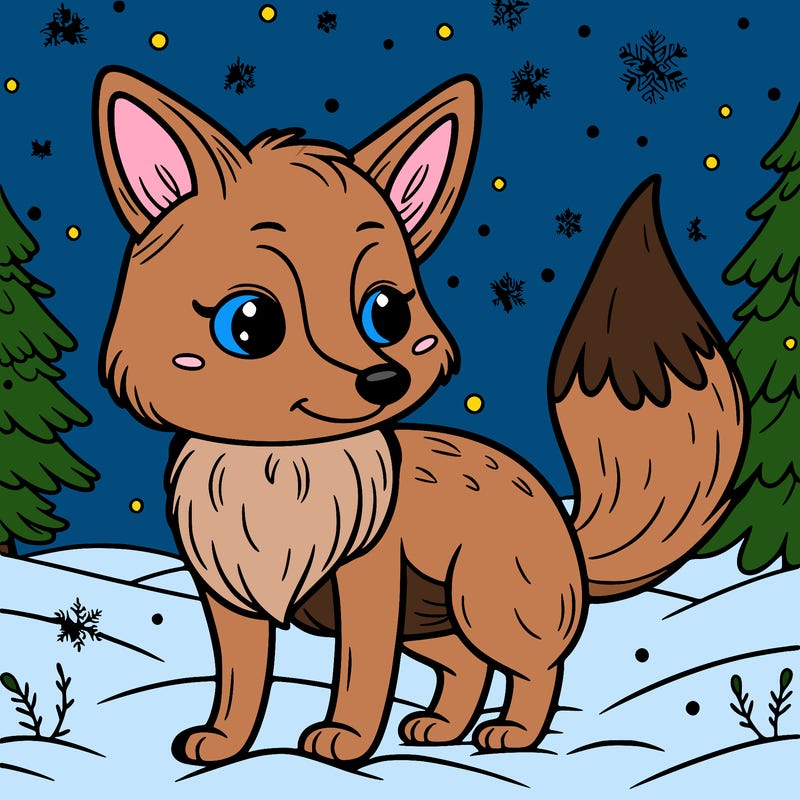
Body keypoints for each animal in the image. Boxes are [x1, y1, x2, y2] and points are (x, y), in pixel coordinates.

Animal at [92, 66, 745, 766]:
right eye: (251, 323)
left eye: (387, 312)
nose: (384, 378)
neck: (279, 470)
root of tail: (560, 514)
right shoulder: (229, 594)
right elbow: (241, 680)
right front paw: (223, 742)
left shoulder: (367, 586)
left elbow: (361, 671)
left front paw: (345, 741)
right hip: (435, 622)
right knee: (467, 668)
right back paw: (441, 727)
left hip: (489, 605)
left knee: (536, 669)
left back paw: (512, 734)